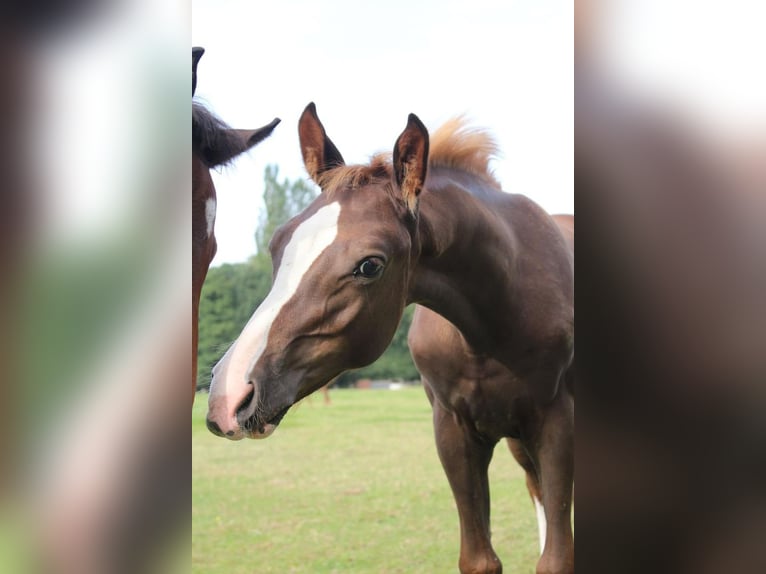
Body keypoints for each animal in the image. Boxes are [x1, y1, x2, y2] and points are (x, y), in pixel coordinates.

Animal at [207, 104, 572, 574]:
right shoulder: (453, 431)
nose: (227, 396)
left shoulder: (556, 422)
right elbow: (480, 558)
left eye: (370, 265)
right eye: (276, 244)